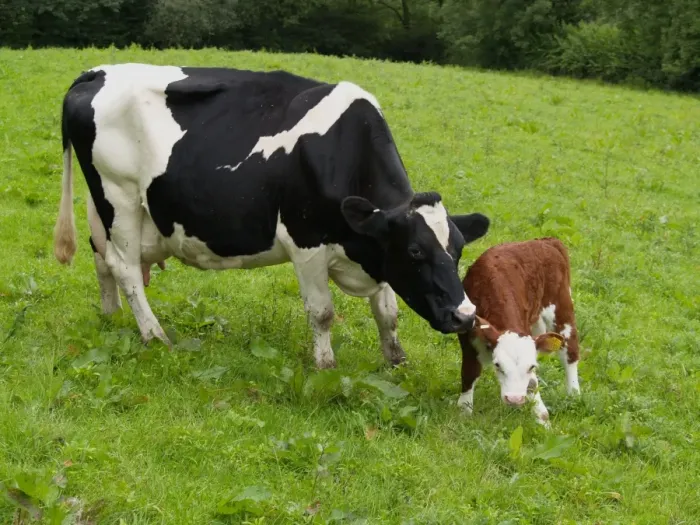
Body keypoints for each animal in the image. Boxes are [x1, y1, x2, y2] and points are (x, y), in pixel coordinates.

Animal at [53, 63, 491, 370]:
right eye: (416, 251)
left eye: (457, 252)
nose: (465, 316)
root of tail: (96, 72)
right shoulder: (307, 242)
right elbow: (323, 312)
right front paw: (325, 365)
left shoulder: (375, 247)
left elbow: (388, 312)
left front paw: (396, 361)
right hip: (119, 195)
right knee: (125, 267)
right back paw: (155, 335)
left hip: (104, 205)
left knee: (102, 257)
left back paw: (112, 317)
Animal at [456, 237, 580, 425]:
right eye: (498, 365)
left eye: (531, 366)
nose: (514, 399)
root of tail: (546, 240)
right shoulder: (468, 337)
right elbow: (470, 373)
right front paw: (464, 412)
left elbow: (532, 383)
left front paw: (542, 420)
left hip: (562, 307)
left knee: (570, 352)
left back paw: (574, 394)